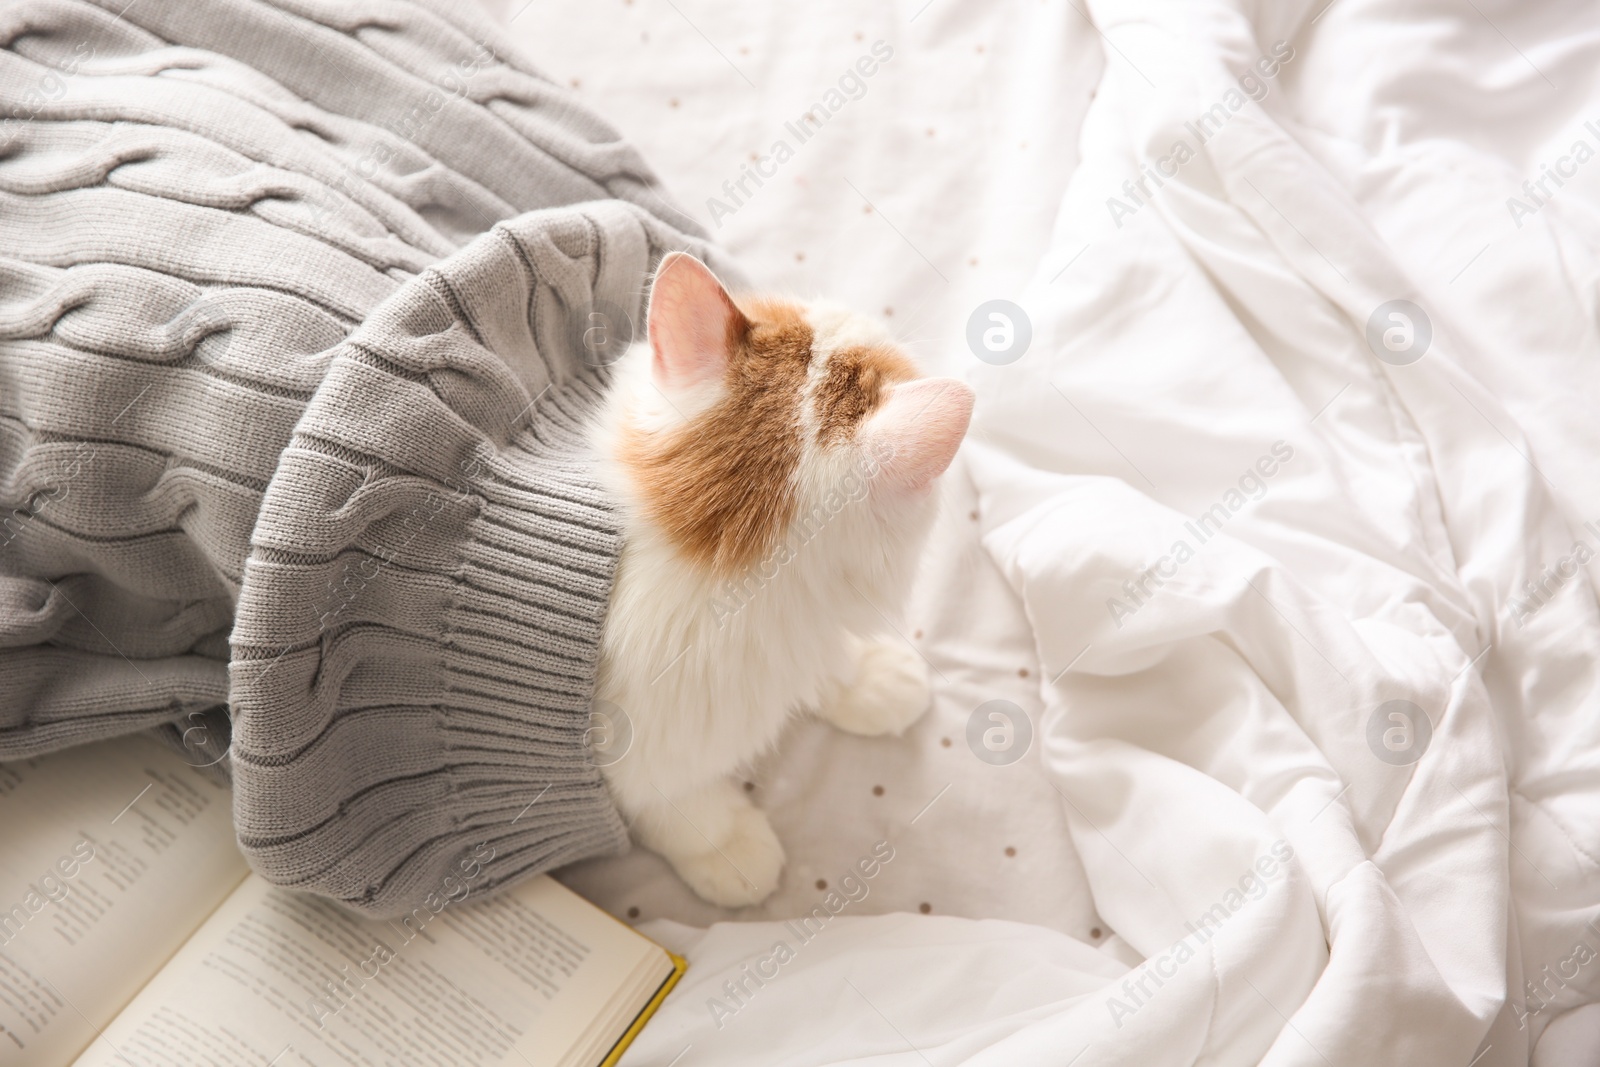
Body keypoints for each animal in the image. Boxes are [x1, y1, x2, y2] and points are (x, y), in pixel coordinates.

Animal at [585, 254, 966, 908]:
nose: (863, 311)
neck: (721, 571)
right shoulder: (622, 749)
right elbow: (672, 799)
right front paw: (727, 846)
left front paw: (866, 679)